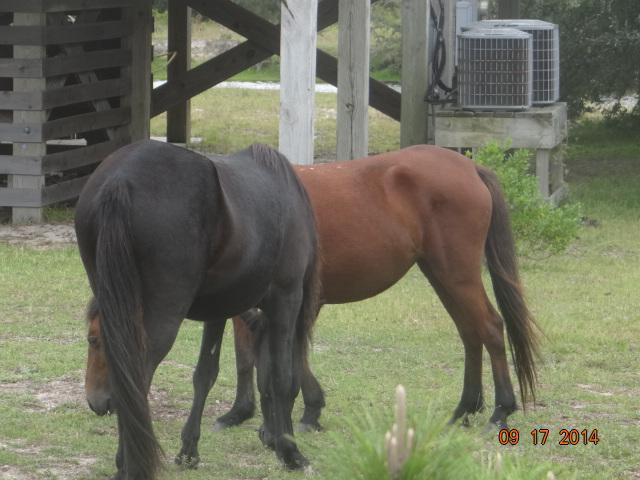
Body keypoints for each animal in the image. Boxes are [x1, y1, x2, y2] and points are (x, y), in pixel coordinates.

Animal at [76, 139, 320, 479]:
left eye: (92, 341)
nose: (96, 403)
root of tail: (120, 180)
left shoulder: (219, 309)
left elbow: (205, 373)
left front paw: (189, 451)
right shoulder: (286, 298)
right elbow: (281, 376)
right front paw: (290, 451)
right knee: (137, 379)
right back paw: (134, 466)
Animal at [174, 145, 540, 466]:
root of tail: (470, 168)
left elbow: (267, 360)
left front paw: (273, 419)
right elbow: (262, 358)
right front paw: (283, 415)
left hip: (456, 274)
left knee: (489, 328)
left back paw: (500, 411)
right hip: (442, 274)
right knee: (469, 332)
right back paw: (465, 408)